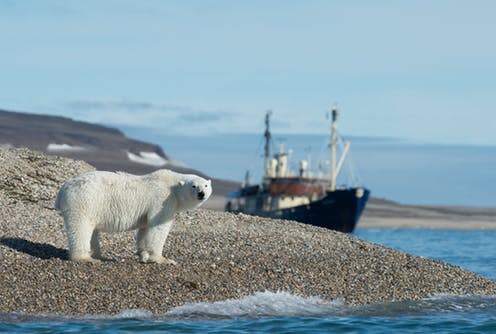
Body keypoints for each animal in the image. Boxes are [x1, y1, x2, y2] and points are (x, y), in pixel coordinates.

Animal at [55, 170, 212, 264]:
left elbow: (145, 229)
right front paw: (162, 259)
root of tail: (63, 189)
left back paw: (98, 255)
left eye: (205, 185)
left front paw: (143, 254)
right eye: (193, 186)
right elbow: (159, 227)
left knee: (92, 231)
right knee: (80, 228)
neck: (172, 185)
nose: (201, 194)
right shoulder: (163, 200)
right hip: (84, 201)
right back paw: (86, 258)